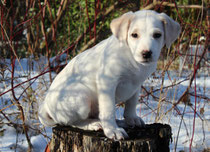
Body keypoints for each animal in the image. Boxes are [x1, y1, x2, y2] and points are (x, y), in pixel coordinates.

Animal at [39, 9, 180, 140]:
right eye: (134, 35)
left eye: (157, 35)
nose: (146, 53)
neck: (131, 58)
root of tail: (45, 106)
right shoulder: (107, 83)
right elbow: (108, 110)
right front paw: (112, 130)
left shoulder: (137, 84)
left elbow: (131, 103)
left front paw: (131, 118)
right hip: (81, 96)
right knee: (71, 122)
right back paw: (93, 124)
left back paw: (118, 122)